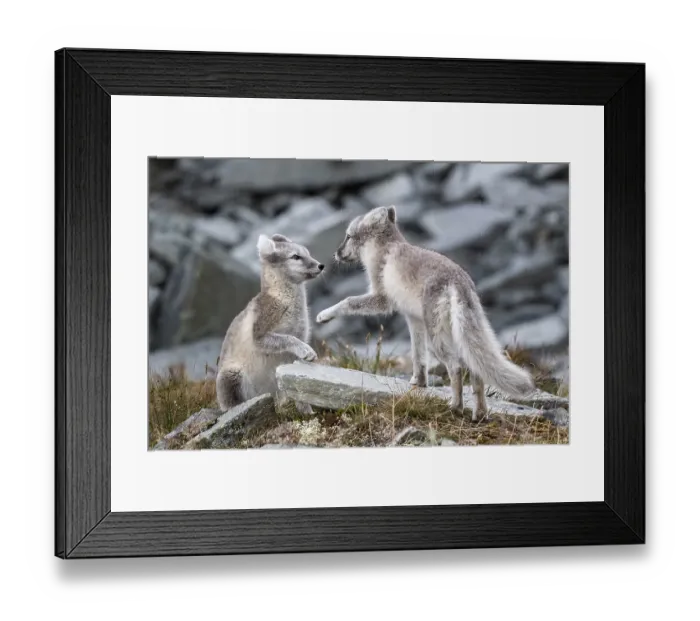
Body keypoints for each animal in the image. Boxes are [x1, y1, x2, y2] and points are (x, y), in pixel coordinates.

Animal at [216, 234, 324, 414]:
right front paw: (306, 350)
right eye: (295, 256)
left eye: (307, 253)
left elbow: (298, 386)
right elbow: (288, 338)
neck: (284, 301)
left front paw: (307, 411)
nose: (321, 265)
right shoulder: (259, 334)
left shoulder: (300, 337)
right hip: (231, 375)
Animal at [316, 205, 534, 420]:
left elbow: (348, 301)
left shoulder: (382, 298)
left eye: (348, 236)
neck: (385, 248)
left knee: (456, 367)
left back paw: (455, 407)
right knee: (476, 370)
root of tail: (458, 281)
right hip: (455, 333)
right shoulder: (414, 320)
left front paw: (324, 315)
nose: (336, 254)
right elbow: (417, 355)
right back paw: (479, 414)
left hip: (436, 337)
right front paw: (418, 382)